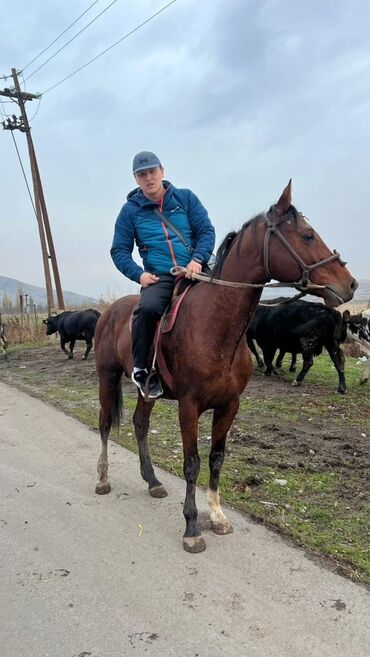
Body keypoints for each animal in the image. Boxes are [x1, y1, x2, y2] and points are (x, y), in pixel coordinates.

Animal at [94, 182, 356, 552]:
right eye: (307, 236)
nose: (350, 284)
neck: (215, 326)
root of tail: (109, 311)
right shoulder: (189, 407)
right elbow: (192, 463)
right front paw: (192, 527)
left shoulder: (229, 405)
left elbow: (216, 458)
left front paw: (217, 516)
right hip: (107, 376)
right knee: (105, 424)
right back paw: (103, 478)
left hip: (147, 391)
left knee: (140, 425)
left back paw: (152, 481)